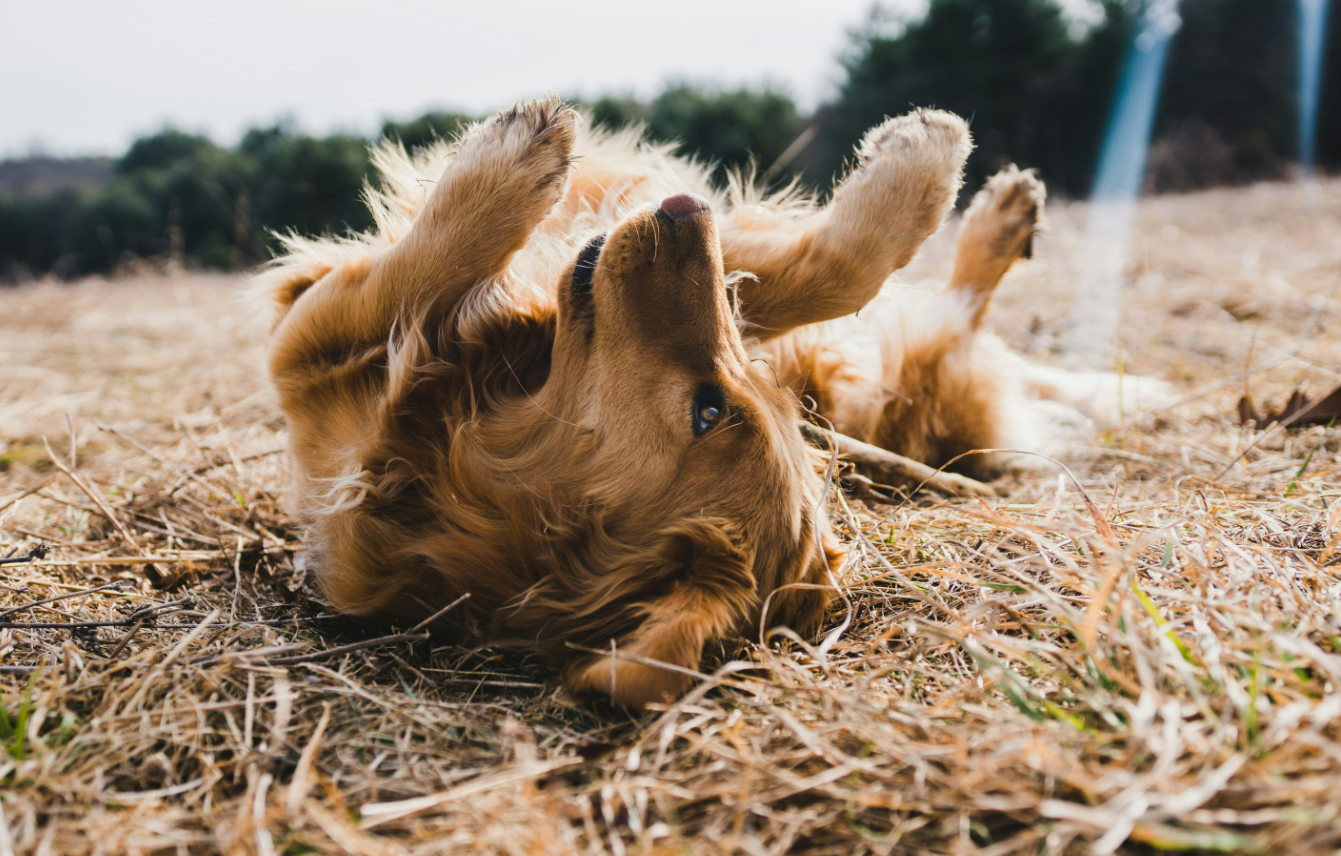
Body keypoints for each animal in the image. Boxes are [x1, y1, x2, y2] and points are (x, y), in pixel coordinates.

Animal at [258, 95, 1142, 708]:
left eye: (708, 411)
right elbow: (822, 272)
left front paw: (506, 165)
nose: (687, 209)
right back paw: (1004, 214)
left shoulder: (310, 353)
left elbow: (422, 269)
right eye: (734, 402)